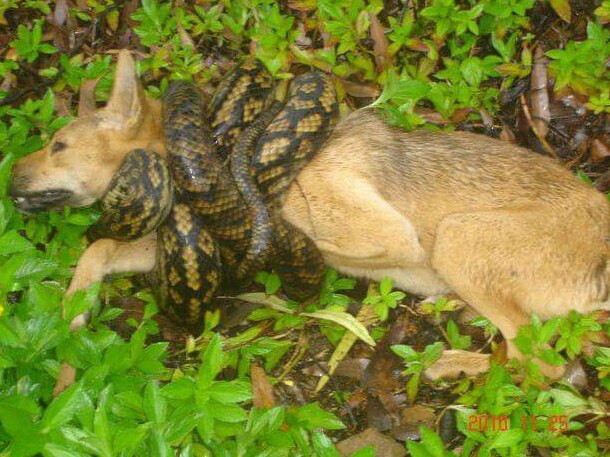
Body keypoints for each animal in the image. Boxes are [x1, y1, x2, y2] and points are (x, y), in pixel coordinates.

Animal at [10, 49, 608, 378]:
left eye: (58, 146)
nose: (9, 176)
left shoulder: (388, 232)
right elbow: (97, 249)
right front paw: (70, 317)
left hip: (458, 240)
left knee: (543, 366)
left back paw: (448, 364)